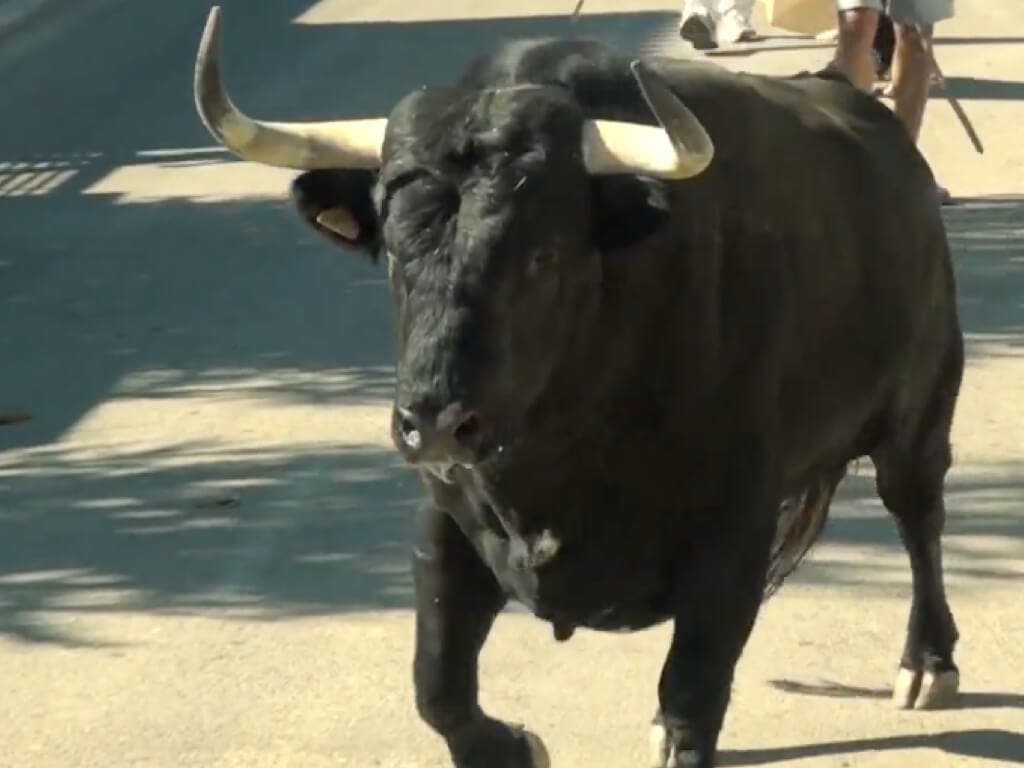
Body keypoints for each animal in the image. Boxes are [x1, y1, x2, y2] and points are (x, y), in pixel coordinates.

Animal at [220, 30, 962, 768]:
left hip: (919, 416)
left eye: (541, 254)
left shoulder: (733, 535)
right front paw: (508, 748)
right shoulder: (445, 523)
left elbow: (693, 696)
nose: (435, 423)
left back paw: (928, 662)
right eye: (397, 250)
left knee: (919, 519)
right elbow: (438, 684)